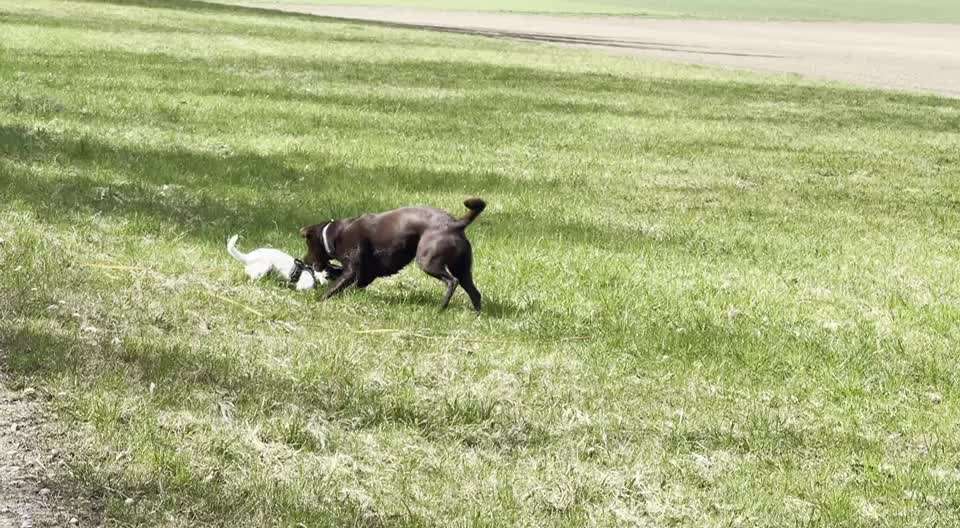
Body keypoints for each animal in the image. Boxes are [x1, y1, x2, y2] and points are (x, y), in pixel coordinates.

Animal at [302, 200, 488, 312]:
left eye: (308, 245)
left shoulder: (352, 270)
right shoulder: (366, 274)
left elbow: (335, 287)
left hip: (428, 262)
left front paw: (319, 300)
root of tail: (455, 225)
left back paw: (440, 308)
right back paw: (477, 314)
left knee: (452, 281)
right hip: (463, 269)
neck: (333, 235)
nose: (304, 261)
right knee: (475, 293)